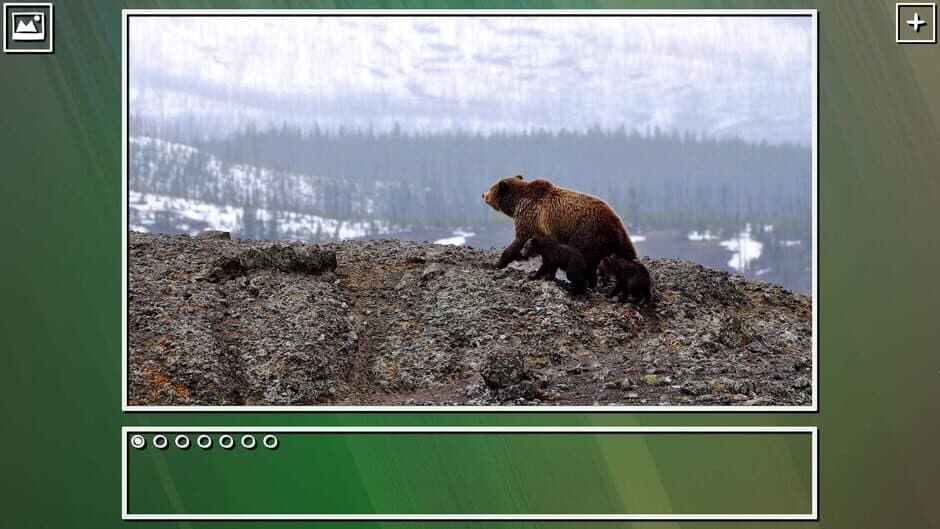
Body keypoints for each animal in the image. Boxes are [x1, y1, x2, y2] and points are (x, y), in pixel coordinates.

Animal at [482, 175, 637, 287]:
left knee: (586, 260)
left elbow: (519, 241)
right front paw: (548, 274)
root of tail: (616, 224)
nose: (483, 194)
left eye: (491, 188)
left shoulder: (531, 218)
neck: (516, 203)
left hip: (586, 233)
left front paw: (497, 263)